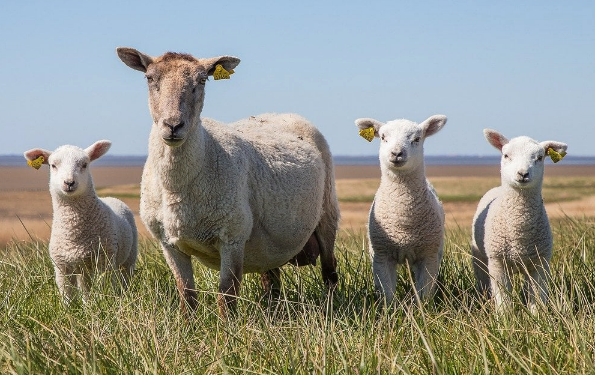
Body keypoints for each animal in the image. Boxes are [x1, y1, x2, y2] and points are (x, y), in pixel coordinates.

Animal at [23, 141, 139, 302]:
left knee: (124, 278)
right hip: (83, 267)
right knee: (85, 287)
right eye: (53, 165)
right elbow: (67, 296)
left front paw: (104, 303)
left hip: (128, 257)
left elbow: (104, 287)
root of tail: (111, 197)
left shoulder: (104, 261)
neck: (75, 233)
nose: (69, 182)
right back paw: (86, 303)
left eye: (84, 164)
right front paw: (69, 308)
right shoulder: (62, 267)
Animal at [116, 47, 340, 318]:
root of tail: (279, 114)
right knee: (272, 280)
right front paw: (188, 326)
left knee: (329, 271)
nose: (173, 125)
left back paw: (331, 308)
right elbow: (186, 295)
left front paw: (227, 328)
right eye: (149, 78)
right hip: (268, 243)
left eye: (202, 80)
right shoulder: (168, 243)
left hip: (327, 213)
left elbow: (227, 294)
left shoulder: (232, 237)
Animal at [354, 114, 448, 302]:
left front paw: (423, 308)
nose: (396, 153)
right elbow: (387, 293)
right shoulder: (381, 255)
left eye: (417, 139)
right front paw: (389, 309)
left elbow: (424, 292)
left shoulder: (428, 255)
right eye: (383, 137)